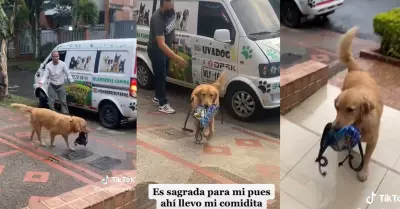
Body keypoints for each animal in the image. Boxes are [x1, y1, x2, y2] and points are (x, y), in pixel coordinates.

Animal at [332, 27, 382, 182]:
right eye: (337, 108)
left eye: (350, 109)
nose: (335, 128)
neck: (360, 123)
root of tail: (356, 70)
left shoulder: (373, 141)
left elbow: (367, 157)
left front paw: (363, 171)